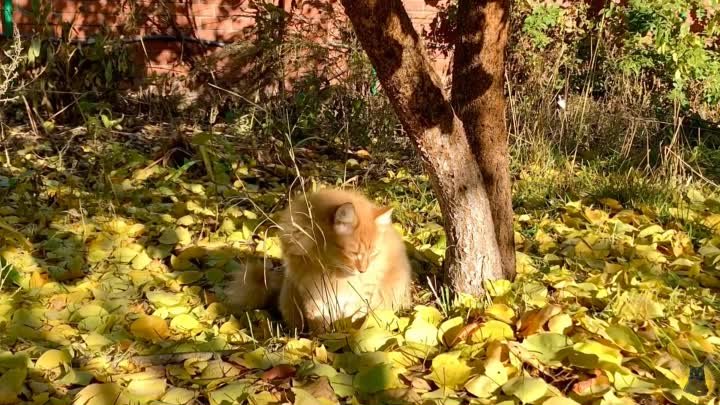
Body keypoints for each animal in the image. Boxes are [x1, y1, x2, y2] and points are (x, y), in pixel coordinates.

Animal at [228, 186, 414, 332]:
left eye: (373, 253)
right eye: (354, 253)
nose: (363, 270)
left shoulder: (359, 294)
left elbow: (354, 317)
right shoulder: (311, 290)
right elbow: (317, 318)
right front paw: (323, 338)